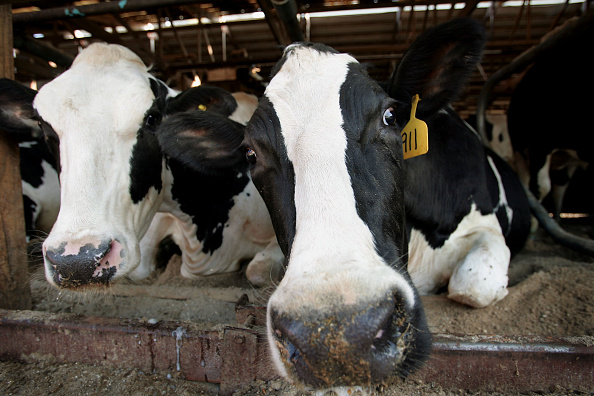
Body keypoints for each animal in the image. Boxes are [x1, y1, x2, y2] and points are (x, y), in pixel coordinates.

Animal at [158, 19, 532, 390]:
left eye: (390, 116)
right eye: (251, 153)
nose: (339, 335)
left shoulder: (485, 227)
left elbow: (472, 286)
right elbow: (256, 269)